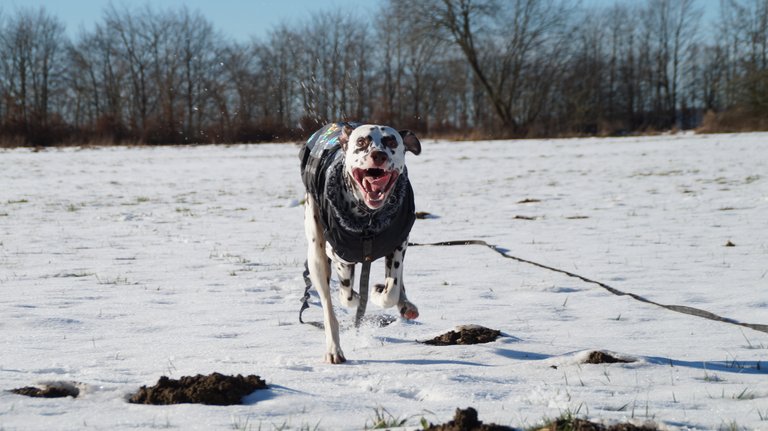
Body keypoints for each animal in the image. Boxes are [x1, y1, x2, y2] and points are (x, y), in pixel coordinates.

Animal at [298, 122, 420, 364]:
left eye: (391, 141)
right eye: (362, 142)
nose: (378, 155)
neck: (368, 220)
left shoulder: (399, 243)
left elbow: (391, 290)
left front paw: (379, 292)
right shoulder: (339, 255)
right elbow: (346, 296)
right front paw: (358, 296)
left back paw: (404, 304)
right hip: (316, 255)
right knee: (329, 308)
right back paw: (334, 349)